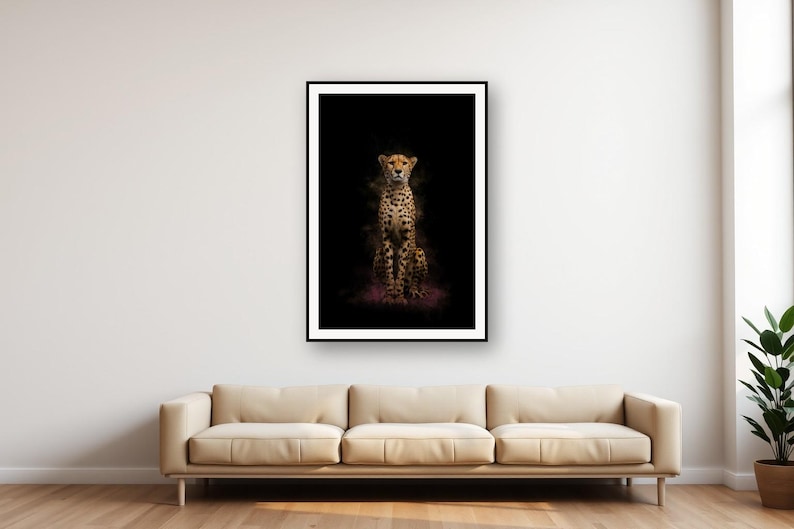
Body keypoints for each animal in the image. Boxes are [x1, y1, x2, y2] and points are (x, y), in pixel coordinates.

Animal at [372, 153, 429, 304]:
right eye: (391, 163)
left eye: (404, 163)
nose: (398, 171)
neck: (397, 190)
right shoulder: (386, 237)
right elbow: (389, 269)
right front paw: (390, 296)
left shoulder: (406, 237)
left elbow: (401, 268)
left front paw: (399, 297)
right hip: (379, 251)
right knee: (383, 278)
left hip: (419, 251)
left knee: (414, 282)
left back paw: (413, 291)